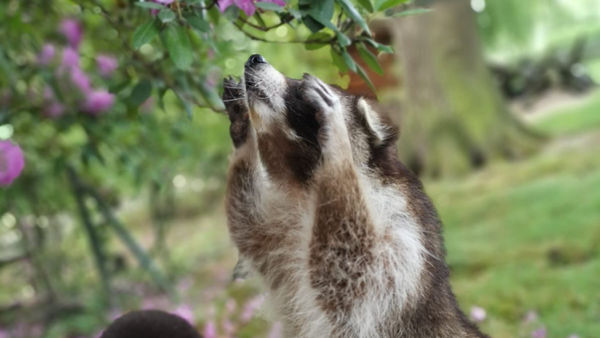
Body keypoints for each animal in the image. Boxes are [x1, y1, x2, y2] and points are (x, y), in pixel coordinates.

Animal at [223, 54, 486, 336]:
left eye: (299, 89)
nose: (254, 58)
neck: (306, 181)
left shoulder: (404, 234)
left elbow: (354, 271)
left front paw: (337, 146)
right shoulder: (283, 239)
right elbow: (249, 227)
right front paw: (243, 129)